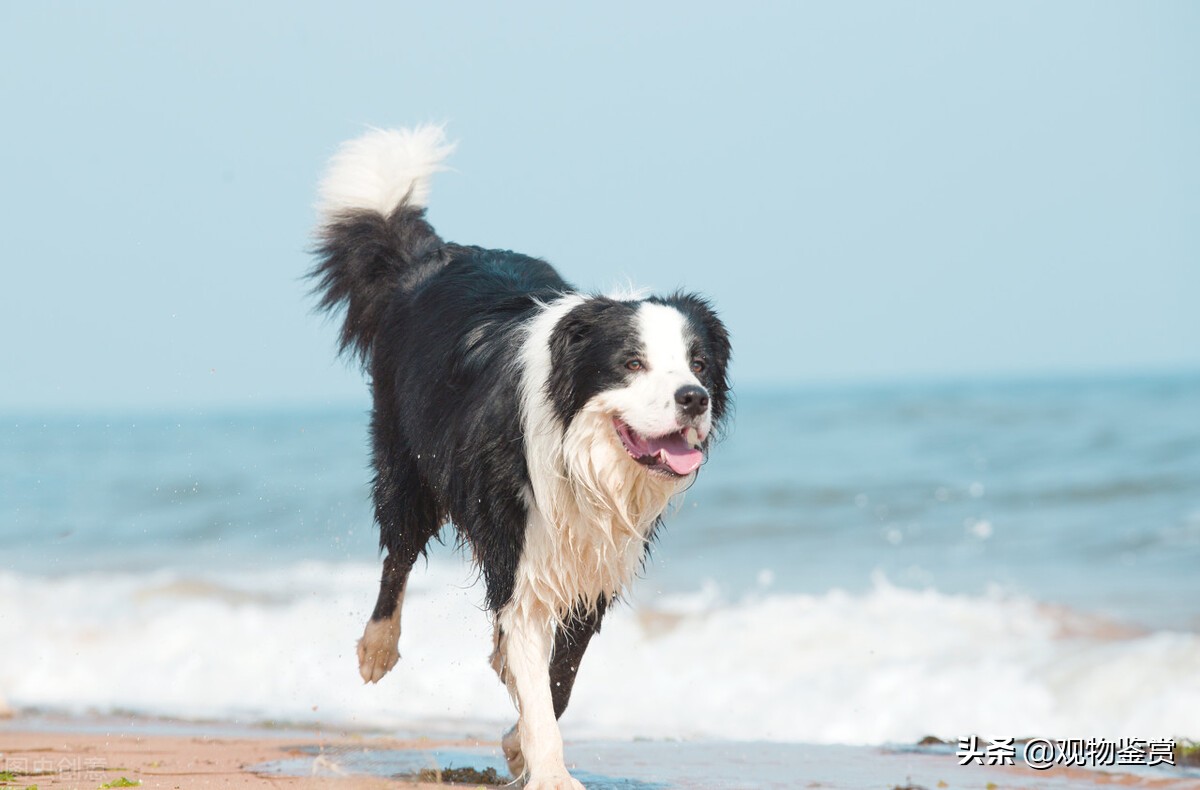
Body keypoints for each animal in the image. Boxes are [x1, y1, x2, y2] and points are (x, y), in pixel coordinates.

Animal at [309, 126, 729, 782]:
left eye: (700, 363)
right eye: (632, 363)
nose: (694, 398)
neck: (584, 454)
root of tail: (432, 260)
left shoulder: (594, 561)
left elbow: (560, 679)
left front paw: (518, 741)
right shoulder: (524, 549)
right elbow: (535, 670)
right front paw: (550, 771)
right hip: (407, 463)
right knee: (397, 552)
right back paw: (377, 646)